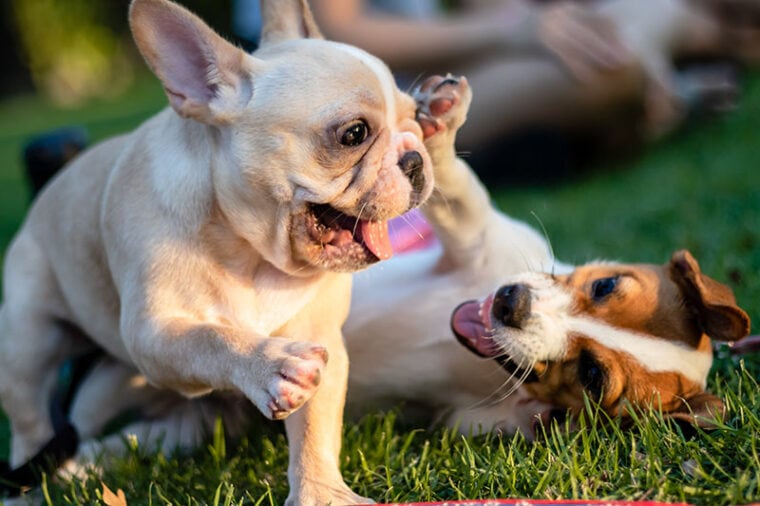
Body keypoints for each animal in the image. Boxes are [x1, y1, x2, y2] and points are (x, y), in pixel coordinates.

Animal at [0, 1, 434, 504]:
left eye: (418, 117)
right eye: (353, 134)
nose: (416, 160)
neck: (248, 249)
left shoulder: (319, 333)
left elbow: (315, 429)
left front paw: (321, 492)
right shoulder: (155, 333)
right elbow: (210, 338)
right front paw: (270, 365)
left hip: (109, 385)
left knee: (119, 434)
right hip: (29, 341)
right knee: (34, 427)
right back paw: (31, 488)